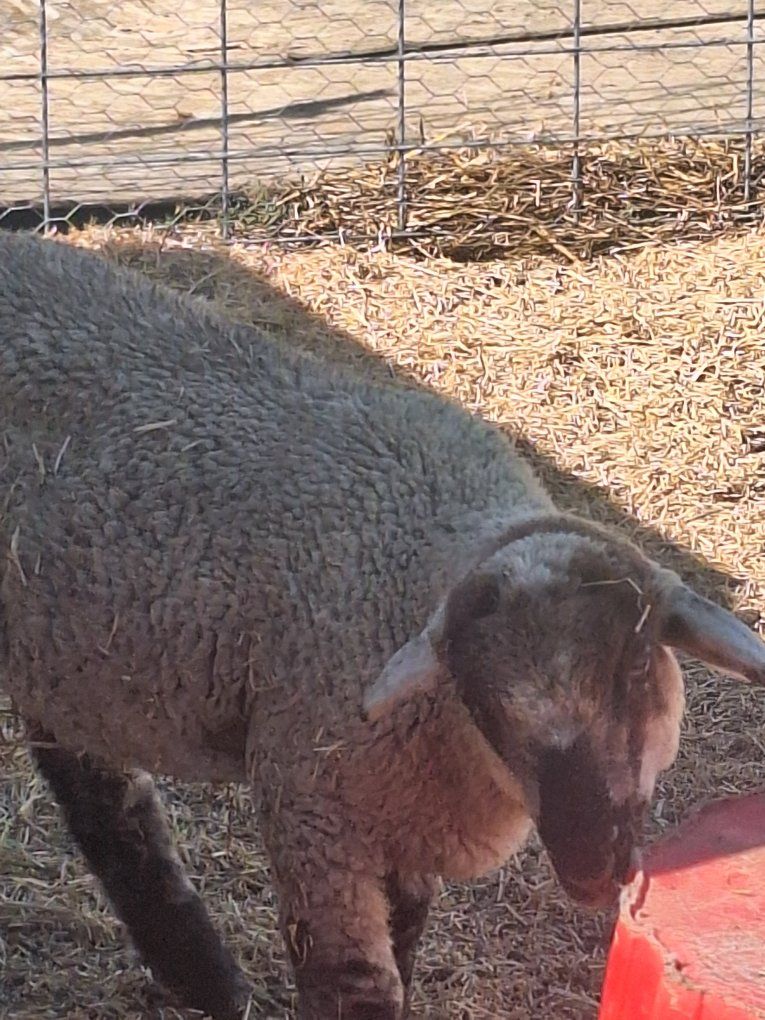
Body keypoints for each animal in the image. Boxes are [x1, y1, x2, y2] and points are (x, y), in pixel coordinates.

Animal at [1, 231, 764, 1020]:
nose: (588, 866)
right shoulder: (316, 817)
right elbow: (356, 985)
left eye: (637, 667)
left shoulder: (400, 825)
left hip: (59, 650)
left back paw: (202, 976)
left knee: (97, 793)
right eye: (482, 699)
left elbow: (406, 938)